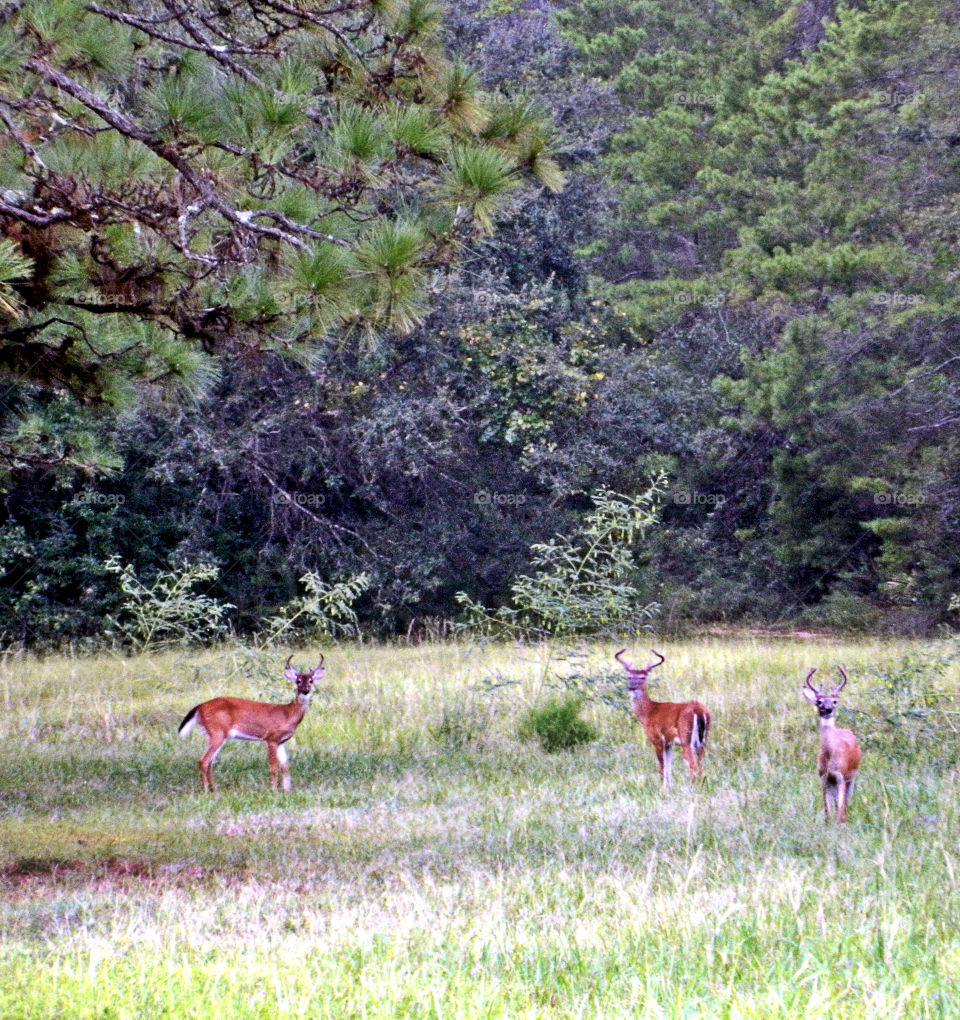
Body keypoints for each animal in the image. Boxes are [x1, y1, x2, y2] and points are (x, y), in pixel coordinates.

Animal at [179, 652, 326, 795]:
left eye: (311, 681)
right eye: (298, 681)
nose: (305, 691)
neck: (287, 714)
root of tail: (199, 707)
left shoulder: (281, 741)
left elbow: (285, 766)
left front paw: (287, 790)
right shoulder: (271, 738)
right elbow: (274, 767)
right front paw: (274, 790)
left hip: (214, 734)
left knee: (209, 762)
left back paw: (213, 789)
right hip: (217, 732)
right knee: (203, 761)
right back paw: (205, 791)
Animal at [616, 644, 710, 787]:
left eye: (643, 677)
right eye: (629, 677)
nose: (631, 687)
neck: (648, 713)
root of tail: (698, 710)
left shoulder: (657, 739)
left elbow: (662, 769)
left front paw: (661, 788)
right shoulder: (669, 744)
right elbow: (668, 769)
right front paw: (667, 787)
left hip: (686, 739)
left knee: (692, 766)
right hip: (703, 741)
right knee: (701, 766)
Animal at [799, 665, 861, 824]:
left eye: (835, 701)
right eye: (819, 702)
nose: (828, 709)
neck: (830, 758)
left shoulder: (841, 777)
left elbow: (839, 810)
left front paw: (840, 824)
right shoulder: (824, 778)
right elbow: (827, 810)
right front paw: (827, 825)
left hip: (852, 777)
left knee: (845, 804)